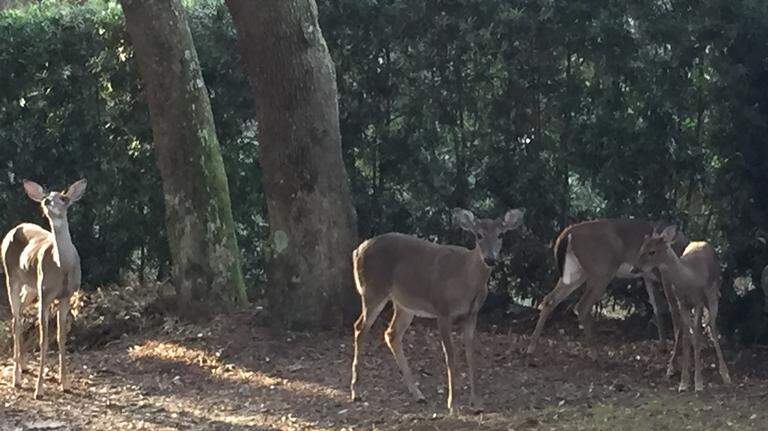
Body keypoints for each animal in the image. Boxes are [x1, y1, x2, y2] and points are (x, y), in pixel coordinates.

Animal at [2, 178, 87, 399]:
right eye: (45, 197)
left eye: (64, 198)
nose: (47, 201)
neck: (62, 266)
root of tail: (13, 229)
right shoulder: (46, 294)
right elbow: (44, 339)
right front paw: (39, 389)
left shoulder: (66, 295)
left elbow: (61, 337)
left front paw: (65, 383)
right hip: (12, 277)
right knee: (16, 317)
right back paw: (16, 377)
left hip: (30, 287)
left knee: (18, 316)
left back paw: (23, 366)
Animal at [349, 207, 525, 414]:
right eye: (478, 235)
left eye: (500, 235)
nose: (490, 259)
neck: (467, 279)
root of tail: (357, 250)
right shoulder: (443, 310)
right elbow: (450, 356)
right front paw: (452, 404)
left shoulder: (472, 314)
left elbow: (471, 355)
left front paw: (477, 403)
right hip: (373, 290)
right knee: (360, 328)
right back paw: (356, 391)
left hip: (405, 303)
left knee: (391, 333)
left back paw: (418, 394)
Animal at [526, 219, 689, 373]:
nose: (635, 267)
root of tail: (567, 234)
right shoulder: (665, 276)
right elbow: (675, 312)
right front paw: (673, 364)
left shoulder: (648, 277)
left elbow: (658, 308)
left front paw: (664, 349)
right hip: (602, 271)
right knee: (582, 306)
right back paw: (598, 358)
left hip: (576, 273)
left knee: (550, 299)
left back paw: (531, 350)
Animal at [635, 225, 731, 391]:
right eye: (642, 247)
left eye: (652, 251)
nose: (635, 268)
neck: (688, 279)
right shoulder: (683, 303)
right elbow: (687, 338)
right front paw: (684, 382)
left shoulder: (698, 301)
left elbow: (697, 336)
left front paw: (698, 383)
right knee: (684, 329)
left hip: (713, 294)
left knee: (712, 327)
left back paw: (725, 374)